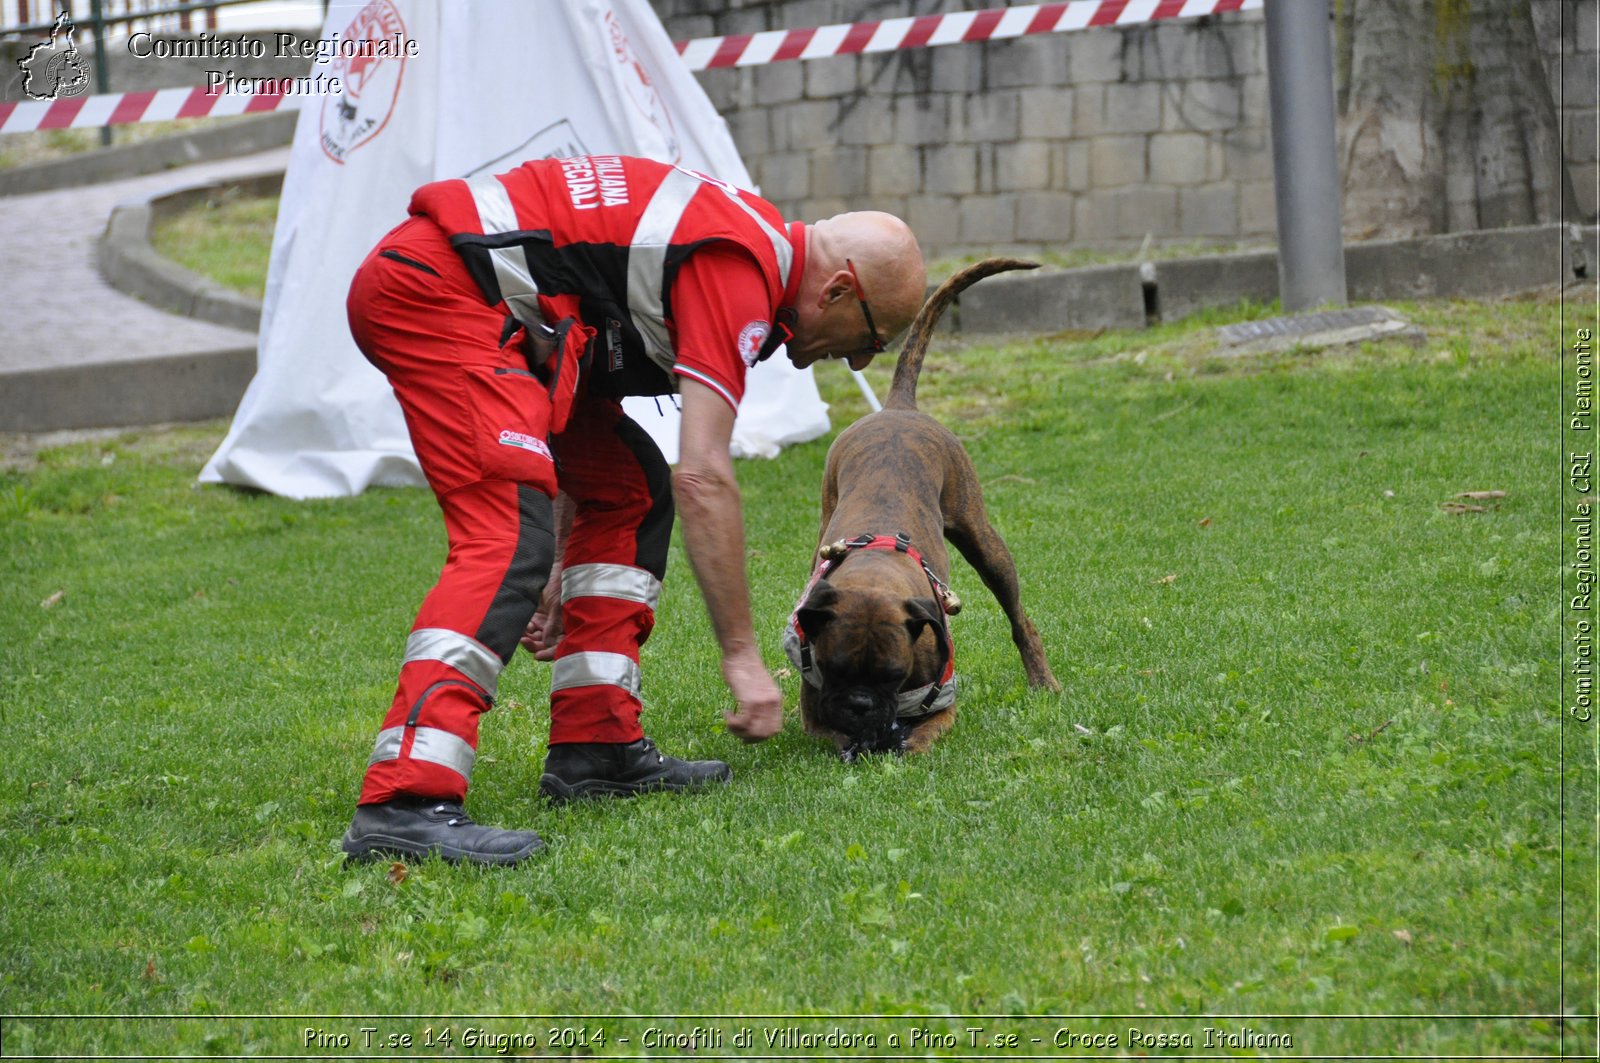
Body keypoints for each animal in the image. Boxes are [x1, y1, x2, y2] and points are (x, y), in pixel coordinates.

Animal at [787, 257, 1062, 758]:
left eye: (892, 675)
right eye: (834, 667)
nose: (859, 704)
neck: (875, 570)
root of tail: (898, 406)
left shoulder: (942, 707)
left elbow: (922, 735)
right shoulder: (814, 717)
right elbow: (832, 731)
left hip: (984, 542)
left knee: (1020, 619)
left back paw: (1042, 681)